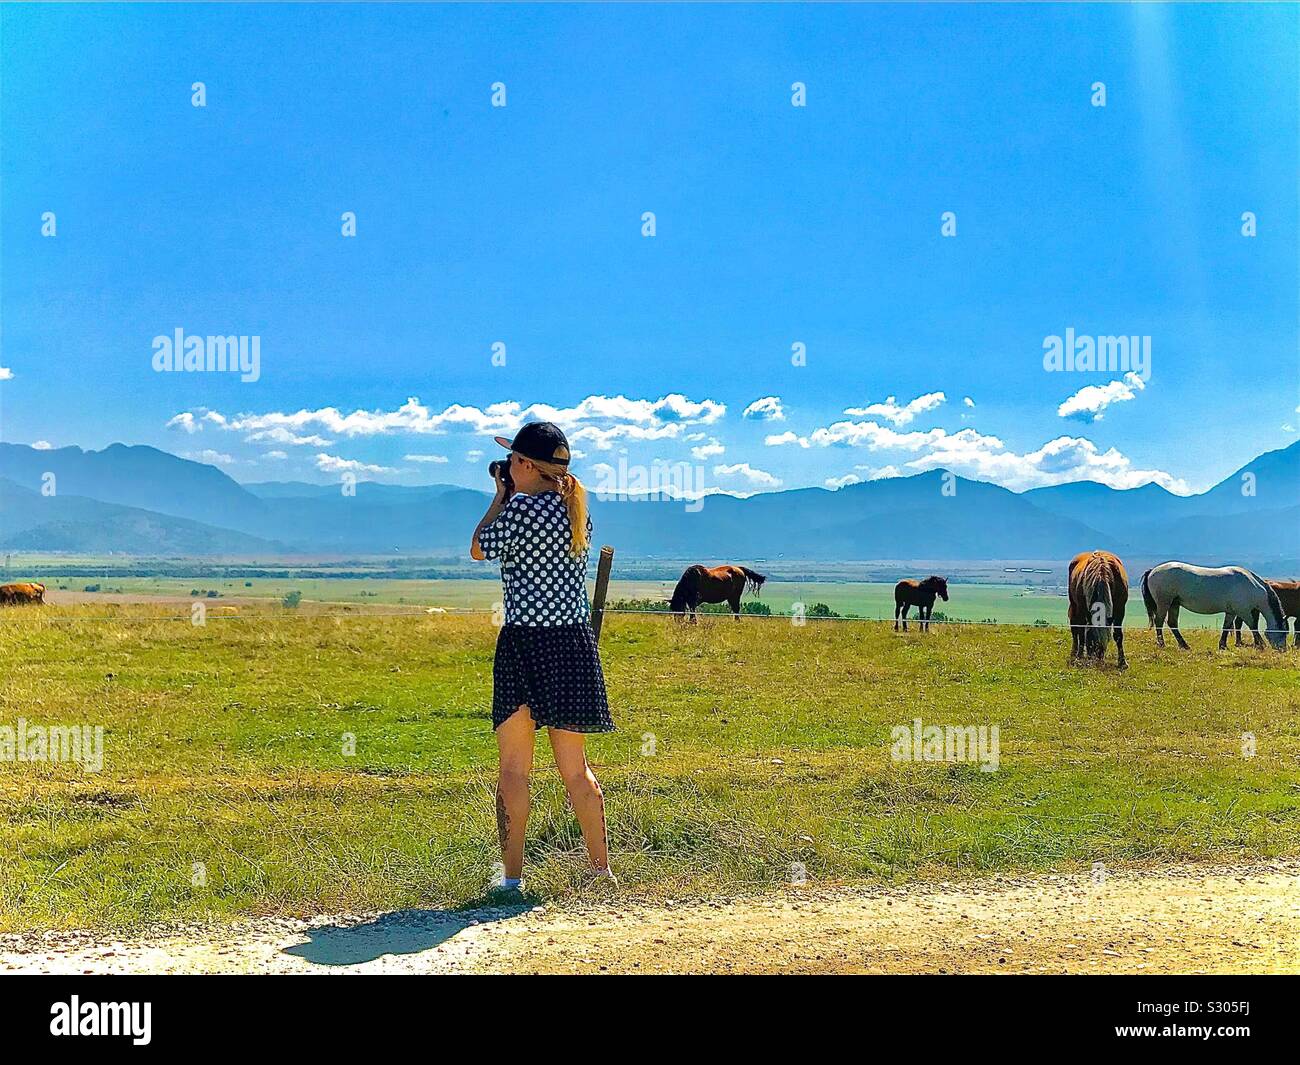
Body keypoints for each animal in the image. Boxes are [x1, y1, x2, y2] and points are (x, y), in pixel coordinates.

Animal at [1141, 562, 1287, 651]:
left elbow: (1226, 627)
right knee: (1159, 622)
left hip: (1174, 604)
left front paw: (1222, 646)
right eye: (1284, 633)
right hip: (1164, 603)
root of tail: (1152, 571)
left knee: (1172, 623)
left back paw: (1184, 645)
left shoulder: (1232, 612)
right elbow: (1253, 626)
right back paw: (1162, 644)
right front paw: (1260, 645)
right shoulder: (1243, 611)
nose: (1283, 650)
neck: (1251, 585)